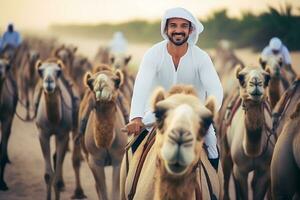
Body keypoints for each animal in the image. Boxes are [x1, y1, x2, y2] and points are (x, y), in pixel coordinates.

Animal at [35, 58, 86, 199]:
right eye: (40, 71)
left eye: (58, 72)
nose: (49, 81)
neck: (54, 119)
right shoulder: (43, 134)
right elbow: (48, 175)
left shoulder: (63, 134)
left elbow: (56, 178)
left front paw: (59, 184)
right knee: (56, 156)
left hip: (74, 128)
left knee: (74, 160)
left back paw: (78, 191)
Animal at [78, 66, 126, 199]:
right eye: (90, 82)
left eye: (117, 81)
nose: (101, 83)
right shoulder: (94, 161)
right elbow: (103, 192)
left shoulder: (119, 159)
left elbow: (115, 193)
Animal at [221, 65, 276, 199]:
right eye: (240, 77)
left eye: (267, 77)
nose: (255, 82)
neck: (252, 151)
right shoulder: (240, 170)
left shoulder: (264, 171)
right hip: (225, 149)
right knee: (226, 176)